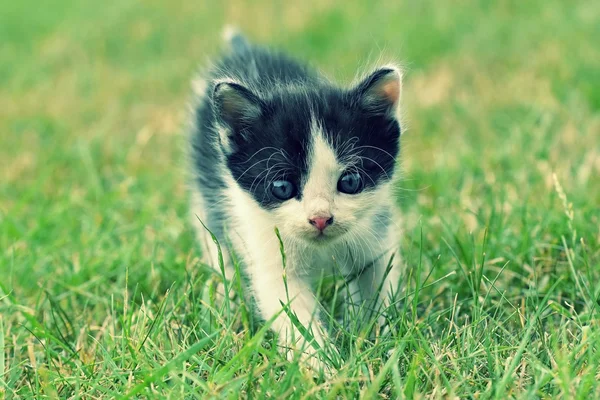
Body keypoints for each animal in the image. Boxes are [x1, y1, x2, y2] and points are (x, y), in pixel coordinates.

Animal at [189, 28, 404, 368]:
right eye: (281, 188)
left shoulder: (375, 236)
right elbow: (291, 311)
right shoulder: (264, 242)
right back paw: (224, 302)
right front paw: (324, 366)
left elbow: (376, 281)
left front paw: (377, 340)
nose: (320, 219)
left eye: (351, 182)